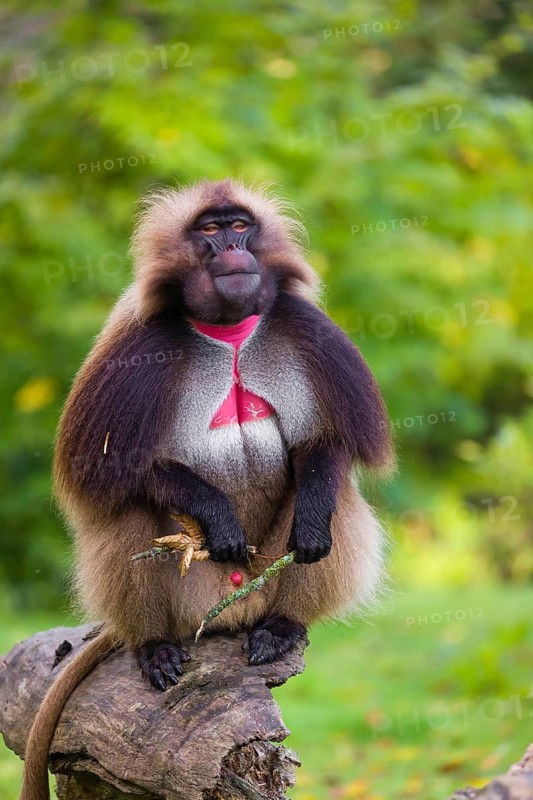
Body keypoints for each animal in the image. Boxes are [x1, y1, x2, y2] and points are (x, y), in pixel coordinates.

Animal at [20, 179, 394, 800]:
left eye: (240, 225)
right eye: (210, 230)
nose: (233, 250)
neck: (229, 333)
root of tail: (232, 611)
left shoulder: (305, 328)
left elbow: (323, 447)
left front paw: (312, 526)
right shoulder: (137, 344)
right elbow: (119, 471)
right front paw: (218, 520)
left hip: (260, 582)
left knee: (331, 500)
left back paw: (280, 629)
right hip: (193, 603)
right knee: (132, 514)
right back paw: (155, 648)